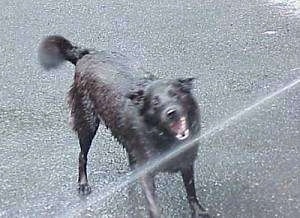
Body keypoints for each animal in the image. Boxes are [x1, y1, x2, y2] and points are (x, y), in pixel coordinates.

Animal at [38, 35, 209, 218]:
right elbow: (153, 204)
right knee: (82, 155)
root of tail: (85, 54)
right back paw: (83, 184)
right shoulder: (147, 170)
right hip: (87, 123)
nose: (171, 112)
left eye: (175, 94)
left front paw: (198, 210)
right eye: (155, 102)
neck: (163, 135)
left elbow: (191, 190)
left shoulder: (186, 159)